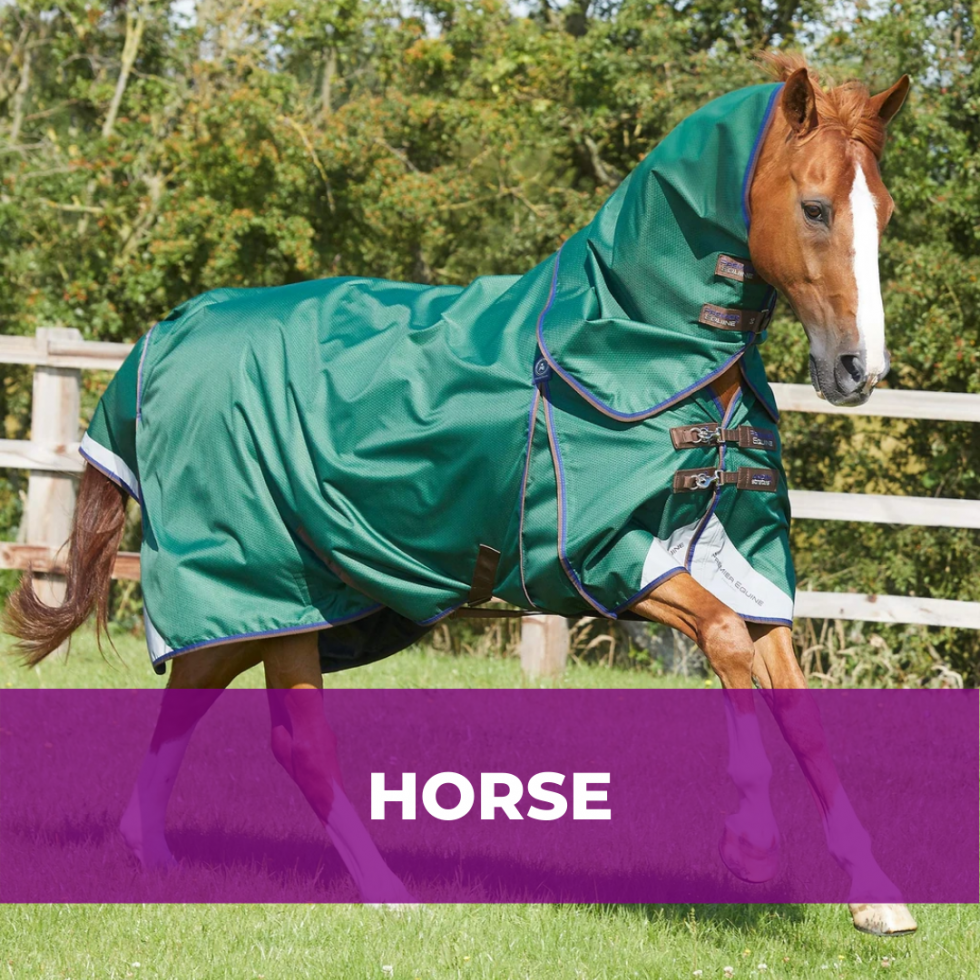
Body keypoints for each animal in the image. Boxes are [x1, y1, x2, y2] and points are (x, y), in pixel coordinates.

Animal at [4, 54, 916, 934]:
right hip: (268, 573)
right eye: (815, 208)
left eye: (885, 212)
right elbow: (724, 642)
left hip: (290, 593)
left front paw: (878, 899)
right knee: (294, 739)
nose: (858, 370)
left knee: (199, 688)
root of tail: (167, 334)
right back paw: (389, 896)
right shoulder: (609, 562)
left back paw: (151, 852)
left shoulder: (744, 564)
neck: (643, 354)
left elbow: (799, 713)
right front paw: (753, 846)